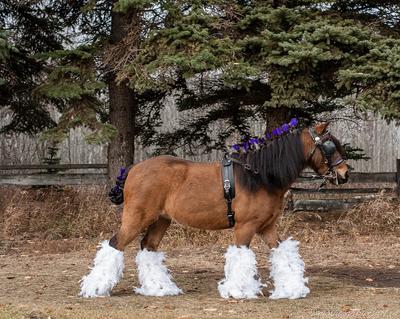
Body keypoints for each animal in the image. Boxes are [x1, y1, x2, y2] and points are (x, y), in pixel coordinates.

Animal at [80, 122, 346, 300]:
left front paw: (292, 289)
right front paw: (238, 291)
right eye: (330, 147)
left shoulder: (267, 227)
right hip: (136, 218)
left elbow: (283, 255)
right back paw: (95, 288)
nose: (344, 174)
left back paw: (159, 288)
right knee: (115, 244)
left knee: (148, 247)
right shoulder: (245, 227)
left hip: (161, 220)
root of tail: (133, 170)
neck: (260, 177)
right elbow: (240, 257)